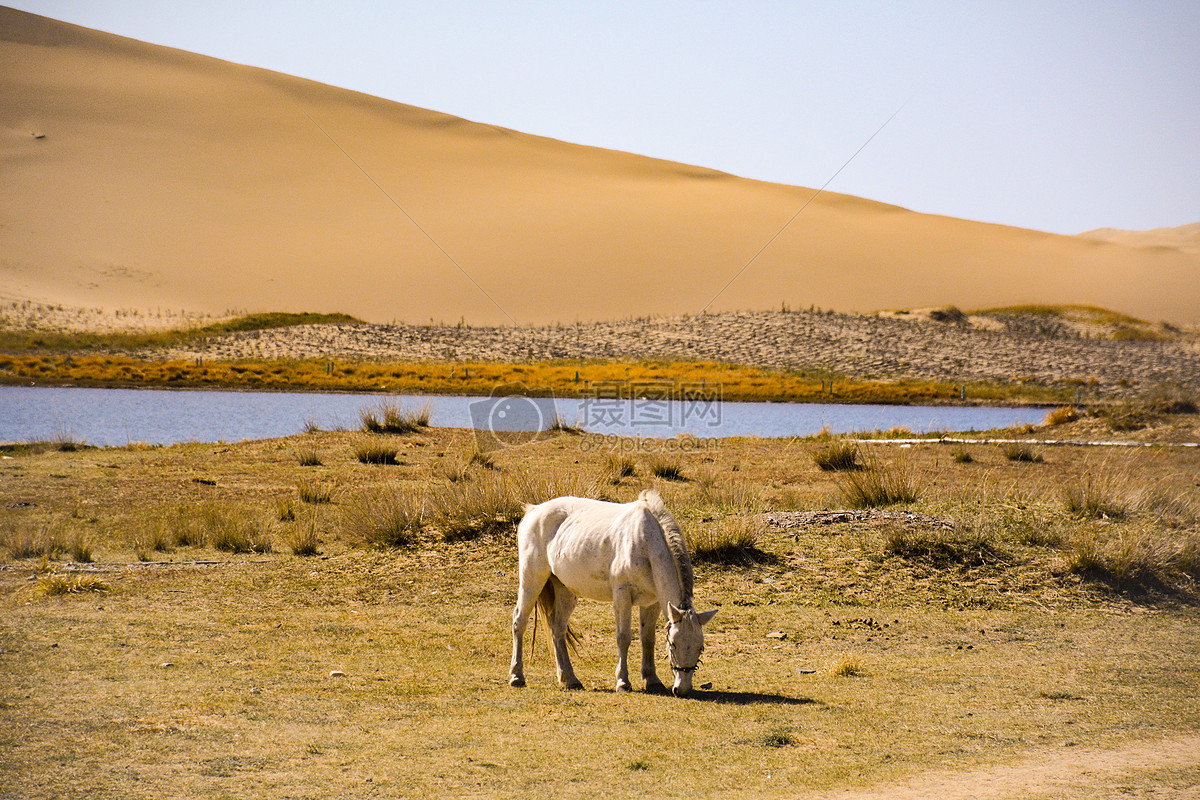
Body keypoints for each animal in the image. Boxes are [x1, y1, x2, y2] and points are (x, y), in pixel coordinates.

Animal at [508, 489, 715, 695]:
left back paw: (570, 679)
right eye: (673, 644)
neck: (645, 542)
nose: (682, 689)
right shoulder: (622, 596)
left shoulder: (652, 602)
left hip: (565, 589)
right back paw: (517, 676)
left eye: (700, 647)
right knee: (519, 621)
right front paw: (623, 682)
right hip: (532, 580)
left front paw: (652, 680)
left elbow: (648, 638)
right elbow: (623, 637)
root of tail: (533, 510)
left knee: (557, 627)